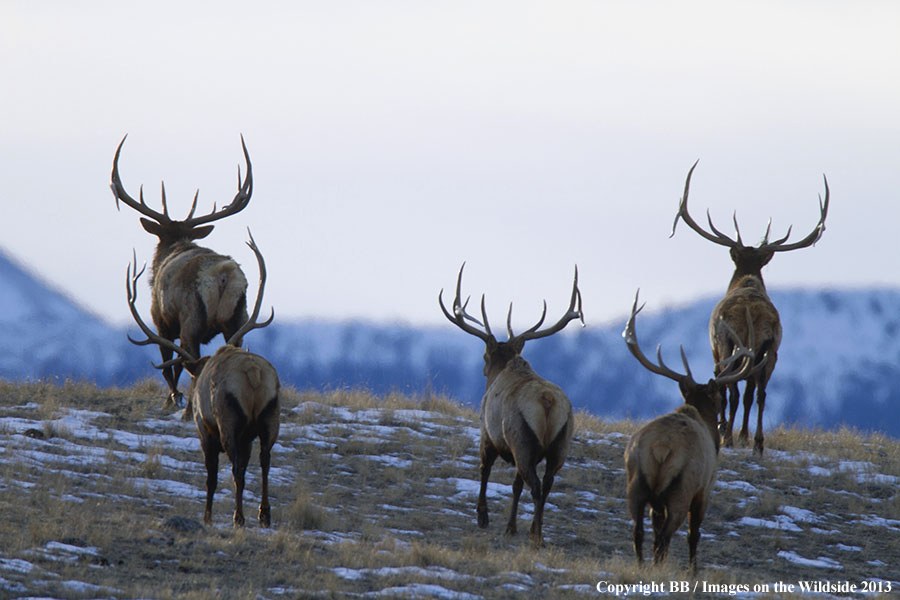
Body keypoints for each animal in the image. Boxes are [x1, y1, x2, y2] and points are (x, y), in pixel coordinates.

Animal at [112, 136, 255, 418]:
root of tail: (222, 275)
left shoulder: (161, 321)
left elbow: (170, 364)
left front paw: (170, 400)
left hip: (192, 318)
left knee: (192, 364)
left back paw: (190, 410)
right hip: (238, 317)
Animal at [125, 232, 276, 528]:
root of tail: (253, 374)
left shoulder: (205, 432)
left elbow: (212, 477)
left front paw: (207, 516)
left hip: (228, 420)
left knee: (235, 468)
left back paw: (238, 517)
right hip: (269, 418)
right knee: (265, 461)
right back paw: (264, 514)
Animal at [438, 264, 584, 548]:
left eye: (485, 355)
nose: (484, 369)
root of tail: (548, 401)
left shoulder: (487, 433)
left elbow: (484, 470)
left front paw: (483, 518)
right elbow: (515, 486)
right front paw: (510, 526)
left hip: (520, 436)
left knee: (535, 485)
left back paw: (536, 536)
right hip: (560, 442)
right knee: (546, 483)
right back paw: (535, 530)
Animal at [624, 290, 768, 572]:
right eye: (717, 399)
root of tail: (661, 449)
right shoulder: (706, 487)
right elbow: (694, 533)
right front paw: (693, 569)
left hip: (635, 482)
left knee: (639, 532)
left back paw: (644, 566)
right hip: (683, 488)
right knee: (667, 535)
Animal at [668, 162, 828, 452]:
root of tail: (752, 315)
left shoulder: (716, 350)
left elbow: (725, 390)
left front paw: (726, 430)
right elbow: (751, 393)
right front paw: (742, 434)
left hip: (730, 343)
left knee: (733, 390)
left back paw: (731, 435)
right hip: (771, 349)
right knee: (760, 392)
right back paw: (756, 441)